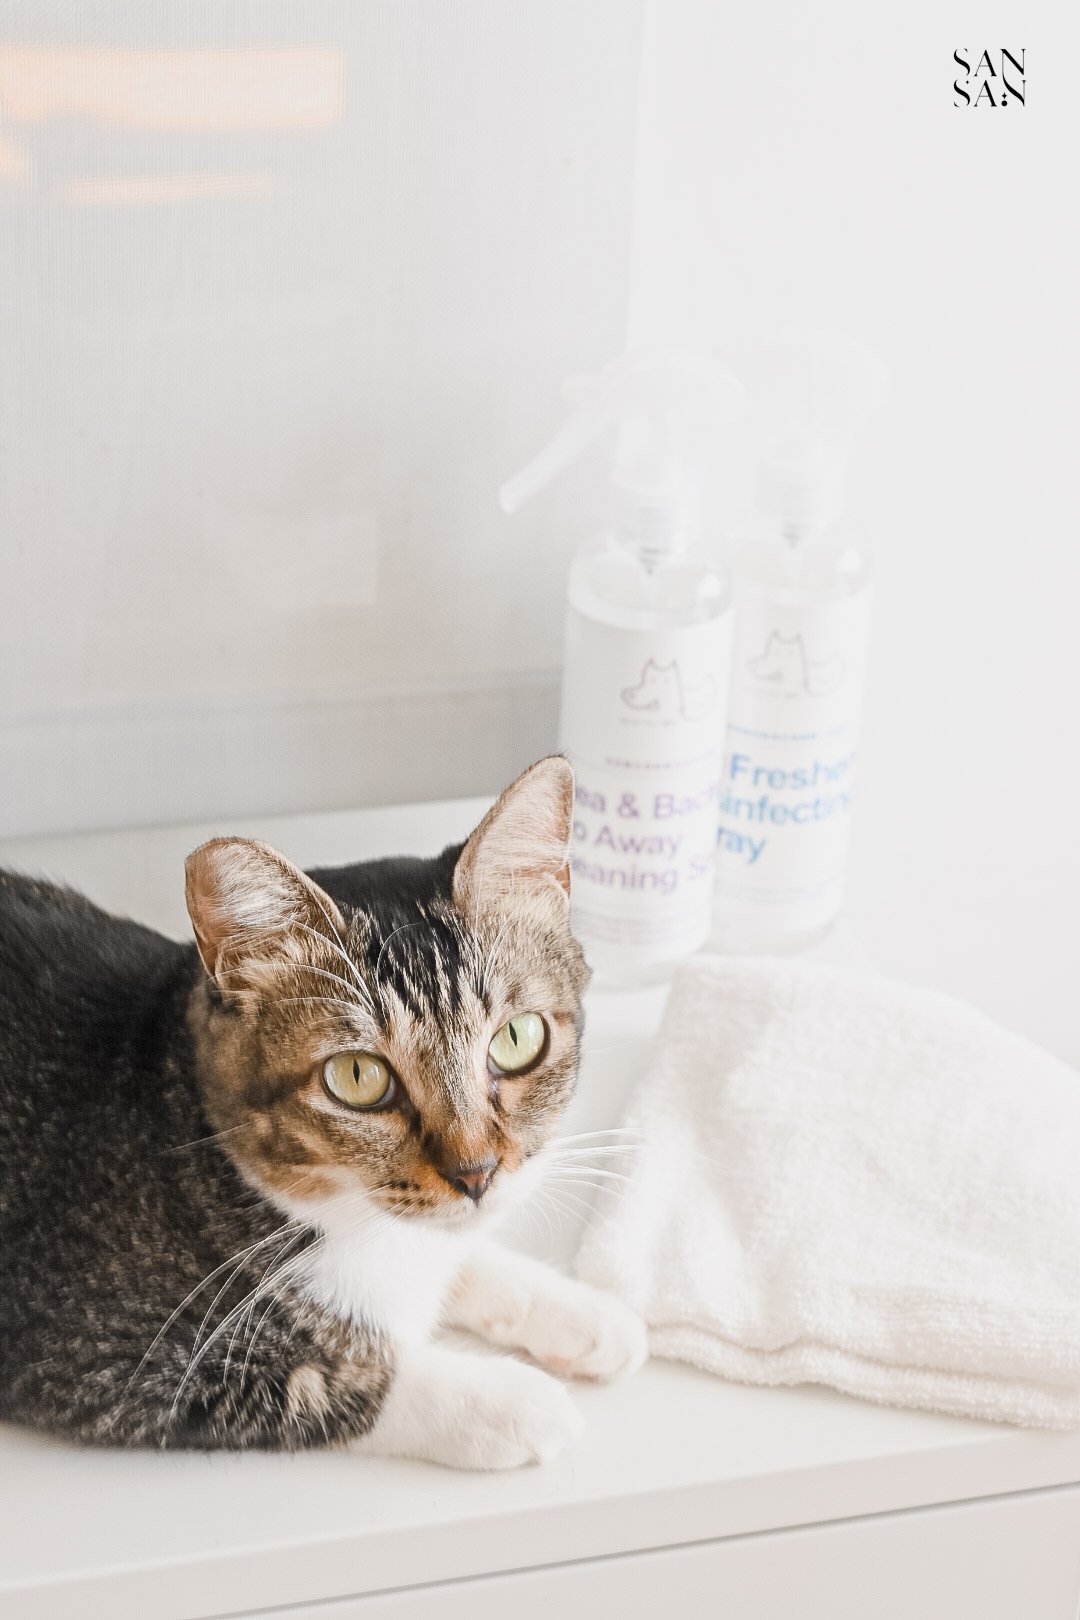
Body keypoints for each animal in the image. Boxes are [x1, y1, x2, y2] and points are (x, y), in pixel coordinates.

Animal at [0, 757, 646, 1466]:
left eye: (517, 1039)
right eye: (358, 1077)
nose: (476, 1173)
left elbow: (467, 1255)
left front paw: (584, 1313)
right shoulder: (91, 1350)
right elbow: (334, 1383)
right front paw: (513, 1402)